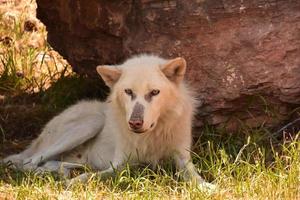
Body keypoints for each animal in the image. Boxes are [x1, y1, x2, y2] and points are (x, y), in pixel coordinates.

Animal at [3, 54, 217, 191]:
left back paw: (63, 171)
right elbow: (92, 177)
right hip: (91, 123)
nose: (135, 123)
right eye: (128, 92)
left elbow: (194, 176)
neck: (151, 136)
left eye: (154, 92)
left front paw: (207, 187)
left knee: (52, 163)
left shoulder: (182, 158)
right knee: (27, 162)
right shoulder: (120, 164)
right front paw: (73, 184)